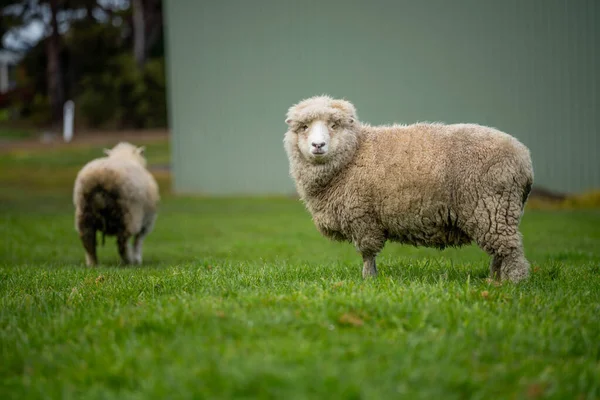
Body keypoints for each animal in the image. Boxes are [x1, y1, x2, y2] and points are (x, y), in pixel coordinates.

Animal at [284, 94, 532, 282]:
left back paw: (513, 282)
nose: (318, 145)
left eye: (334, 125)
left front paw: (368, 280)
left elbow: (367, 253)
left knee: (511, 251)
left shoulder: (363, 217)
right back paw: (494, 279)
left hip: (493, 206)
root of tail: (524, 157)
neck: (355, 152)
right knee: (500, 252)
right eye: (304, 127)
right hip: (497, 211)